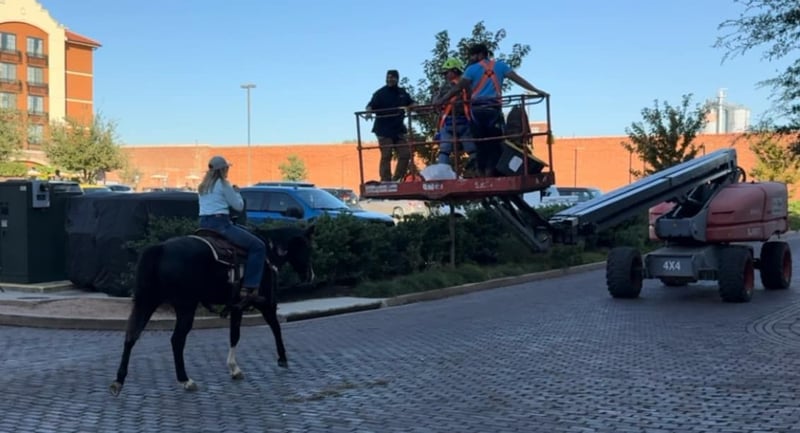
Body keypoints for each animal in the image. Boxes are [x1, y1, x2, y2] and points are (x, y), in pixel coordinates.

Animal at [109, 224, 315, 396]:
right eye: (308, 247)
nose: (311, 275)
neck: (268, 253)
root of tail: (160, 249)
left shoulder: (236, 306)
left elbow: (234, 334)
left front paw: (234, 367)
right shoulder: (266, 304)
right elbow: (275, 327)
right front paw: (282, 358)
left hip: (147, 301)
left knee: (131, 336)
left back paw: (119, 380)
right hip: (185, 306)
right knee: (177, 340)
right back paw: (185, 380)